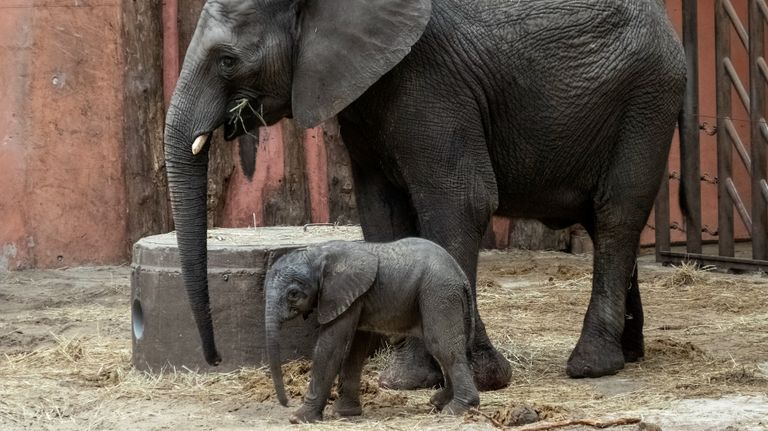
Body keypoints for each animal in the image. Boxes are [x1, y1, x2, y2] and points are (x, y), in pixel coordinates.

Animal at [165, 0, 688, 392]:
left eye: (227, 60)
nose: (214, 359)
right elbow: (383, 215)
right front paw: (414, 377)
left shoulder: (432, 81)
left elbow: (461, 203)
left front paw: (460, 376)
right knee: (604, 223)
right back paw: (629, 354)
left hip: (648, 99)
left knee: (616, 215)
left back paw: (592, 365)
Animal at [268, 238, 476, 424]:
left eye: (293, 294)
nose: (286, 403)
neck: (318, 254)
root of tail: (461, 276)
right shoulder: (355, 298)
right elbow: (355, 348)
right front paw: (344, 413)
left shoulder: (338, 295)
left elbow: (332, 347)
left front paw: (298, 418)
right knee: (444, 347)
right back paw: (439, 402)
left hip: (439, 294)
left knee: (441, 345)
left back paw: (456, 410)